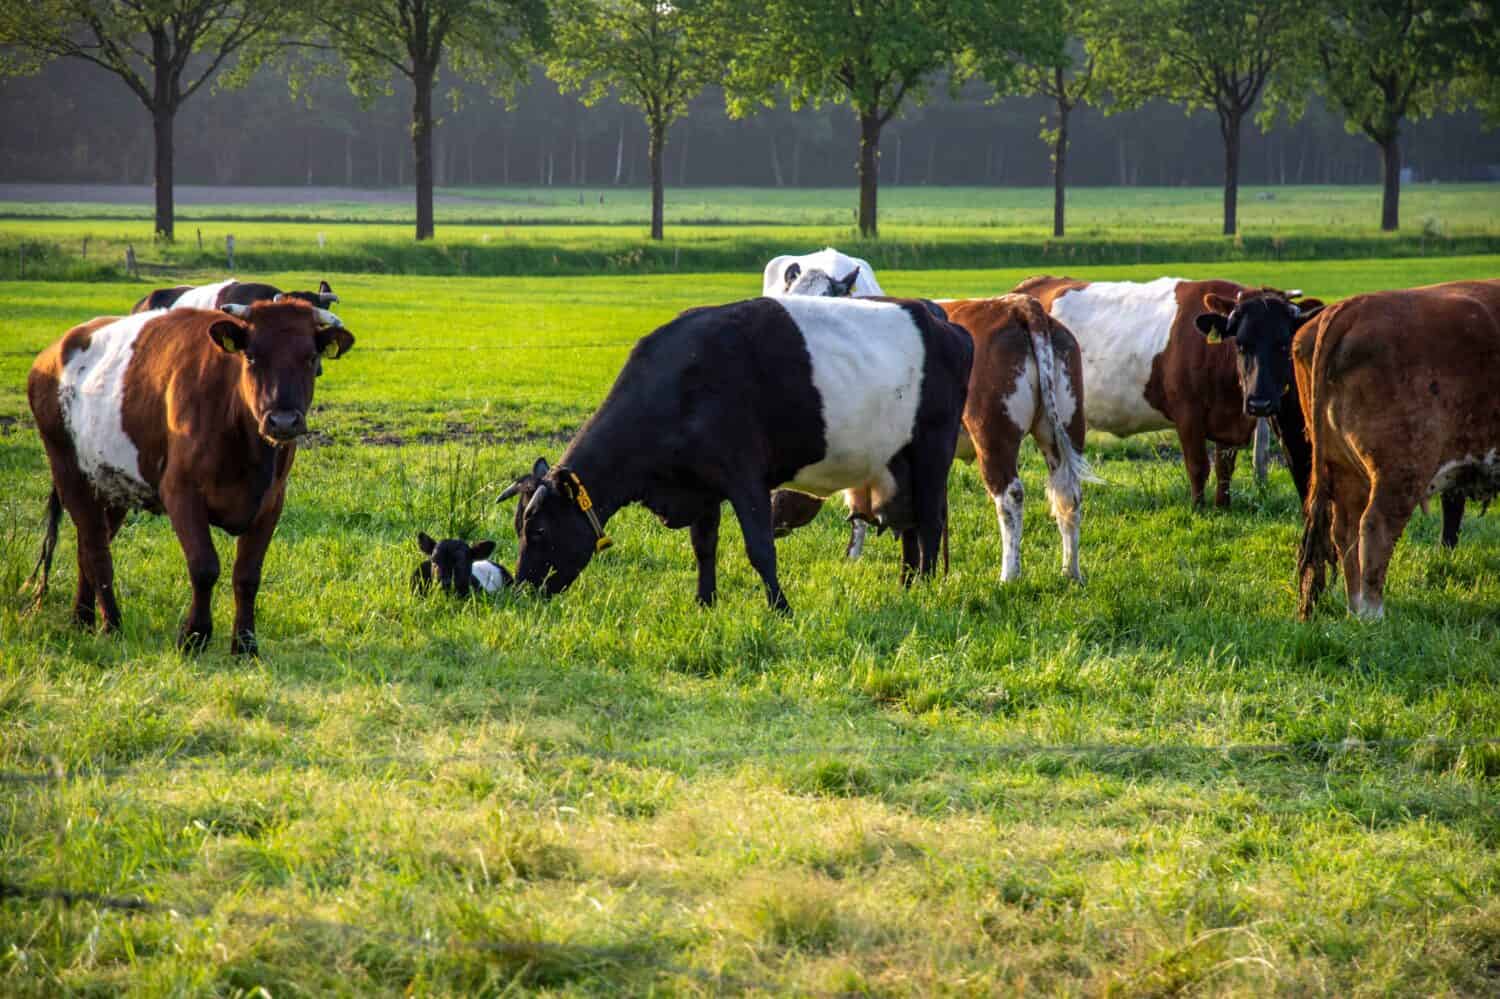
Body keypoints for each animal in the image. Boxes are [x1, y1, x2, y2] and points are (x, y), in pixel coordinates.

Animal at [25, 300, 354, 651]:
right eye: (252, 356)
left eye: (311, 357)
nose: (283, 421)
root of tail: (53, 352)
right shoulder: (180, 492)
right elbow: (204, 566)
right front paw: (195, 635)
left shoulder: (271, 501)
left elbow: (248, 575)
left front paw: (245, 645)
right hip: (69, 471)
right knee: (96, 551)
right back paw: (111, 624)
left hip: (111, 486)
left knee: (87, 548)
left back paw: (82, 618)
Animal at [504, 294, 972, 606]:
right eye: (517, 527)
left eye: (539, 530)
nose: (521, 587)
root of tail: (935, 313)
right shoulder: (701, 485)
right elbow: (703, 547)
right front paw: (704, 604)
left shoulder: (745, 477)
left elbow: (760, 549)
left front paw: (781, 609)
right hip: (897, 461)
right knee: (909, 528)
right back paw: (906, 587)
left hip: (932, 446)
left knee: (930, 522)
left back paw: (926, 590)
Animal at [1020, 273, 1302, 507]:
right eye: (1240, 343)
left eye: (1284, 344)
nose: (1260, 403)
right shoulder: (1187, 413)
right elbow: (1198, 466)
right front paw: (1199, 509)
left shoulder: (1230, 419)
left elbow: (1224, 468)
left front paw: (1223, 507)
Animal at [1290, 277, 1500, 615]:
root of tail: (1348, 308)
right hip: (1402, 469)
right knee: (1376, 527)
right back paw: (1371, 613)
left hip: (1343, 469)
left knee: (1345, 530)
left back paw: (1355, 606)